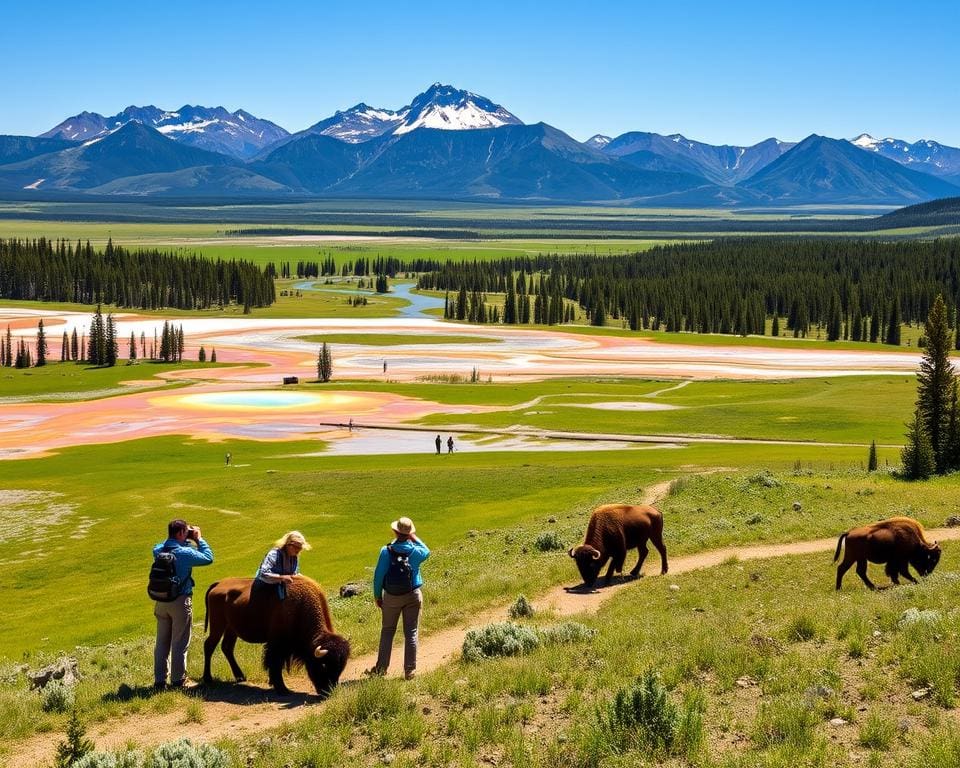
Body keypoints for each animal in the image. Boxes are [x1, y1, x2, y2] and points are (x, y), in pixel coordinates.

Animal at [202, 576, 348, 696]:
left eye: (341, 667)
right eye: (323, 665)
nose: (328, 692)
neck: (300, 607)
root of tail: (218, 584)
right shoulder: (277, 645)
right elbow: (275, 664)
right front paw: (282, 689)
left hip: (231, 629)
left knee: (227, 648)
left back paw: (240, 677)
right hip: (218, 626)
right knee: (209, 646)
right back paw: (208, 679)